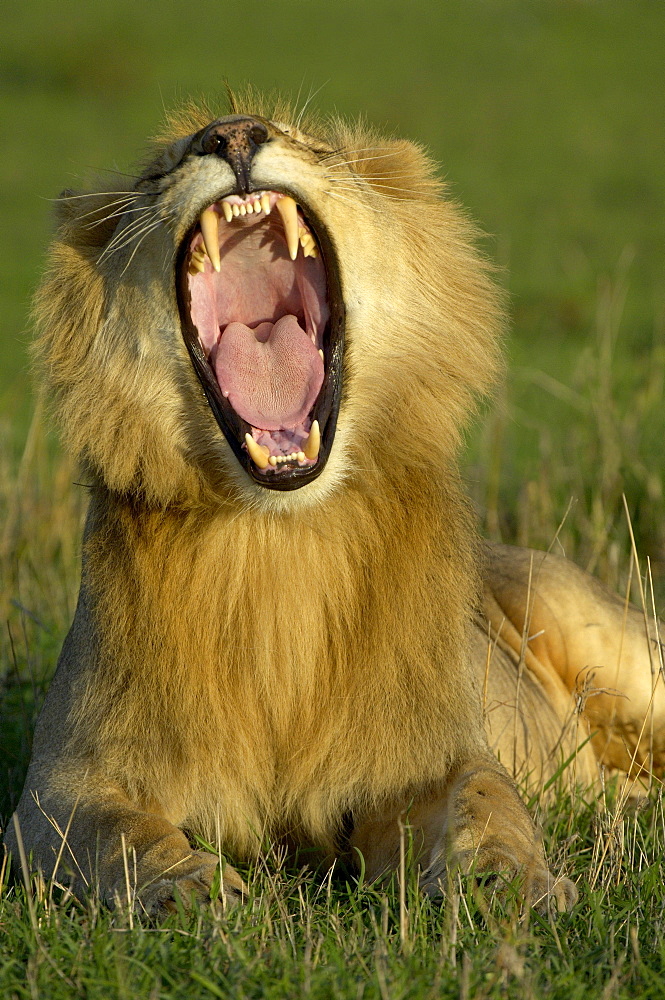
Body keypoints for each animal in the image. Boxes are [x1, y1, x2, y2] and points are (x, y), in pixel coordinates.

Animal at [6, 92, 664, 916]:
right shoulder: (57, 788)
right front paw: (191, 895)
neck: (279, 539)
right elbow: (115, 836)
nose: (230, 135)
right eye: (160, 169)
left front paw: (509, 886)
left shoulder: (434, 752)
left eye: (305, 142)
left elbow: (487, 801)